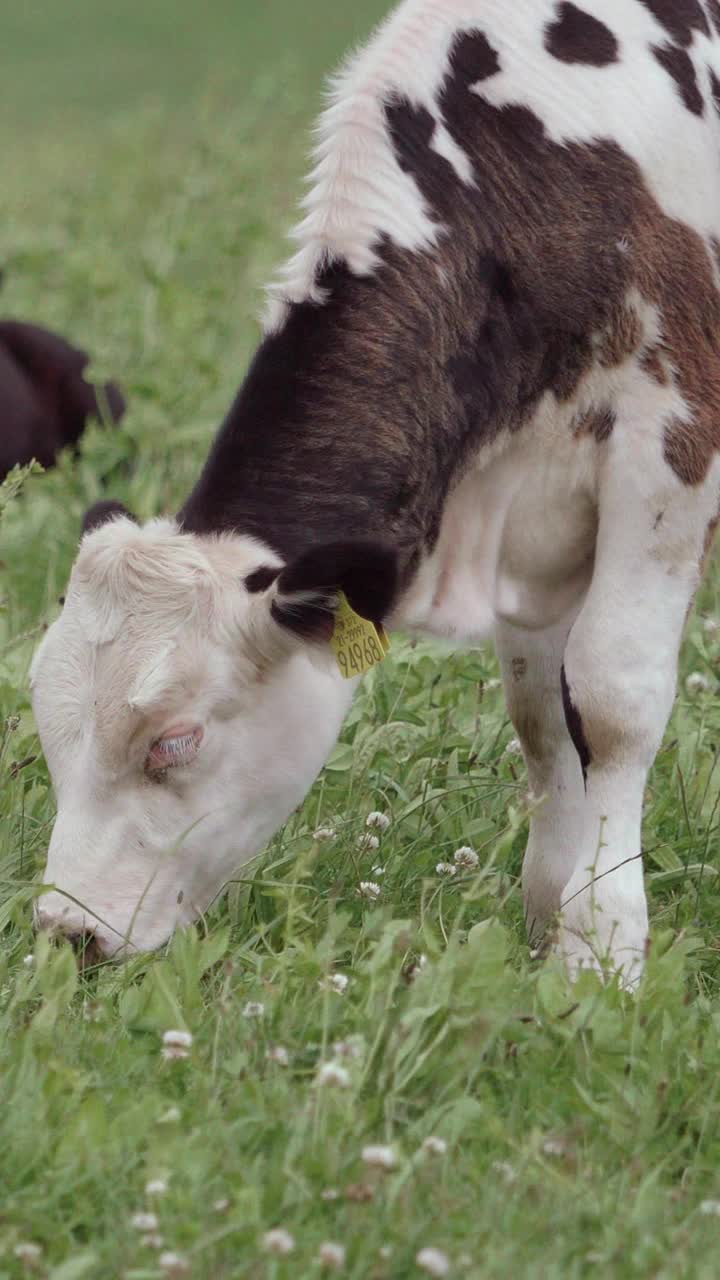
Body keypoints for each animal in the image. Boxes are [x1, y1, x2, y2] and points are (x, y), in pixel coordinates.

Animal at [29, 0, 720, 988]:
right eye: (50, 729)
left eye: (174, 740)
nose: (66, 931)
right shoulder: (531, 513)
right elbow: (544, 717)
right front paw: (549, 919)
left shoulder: (669, 445)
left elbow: (611, 700)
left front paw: (602, 949)